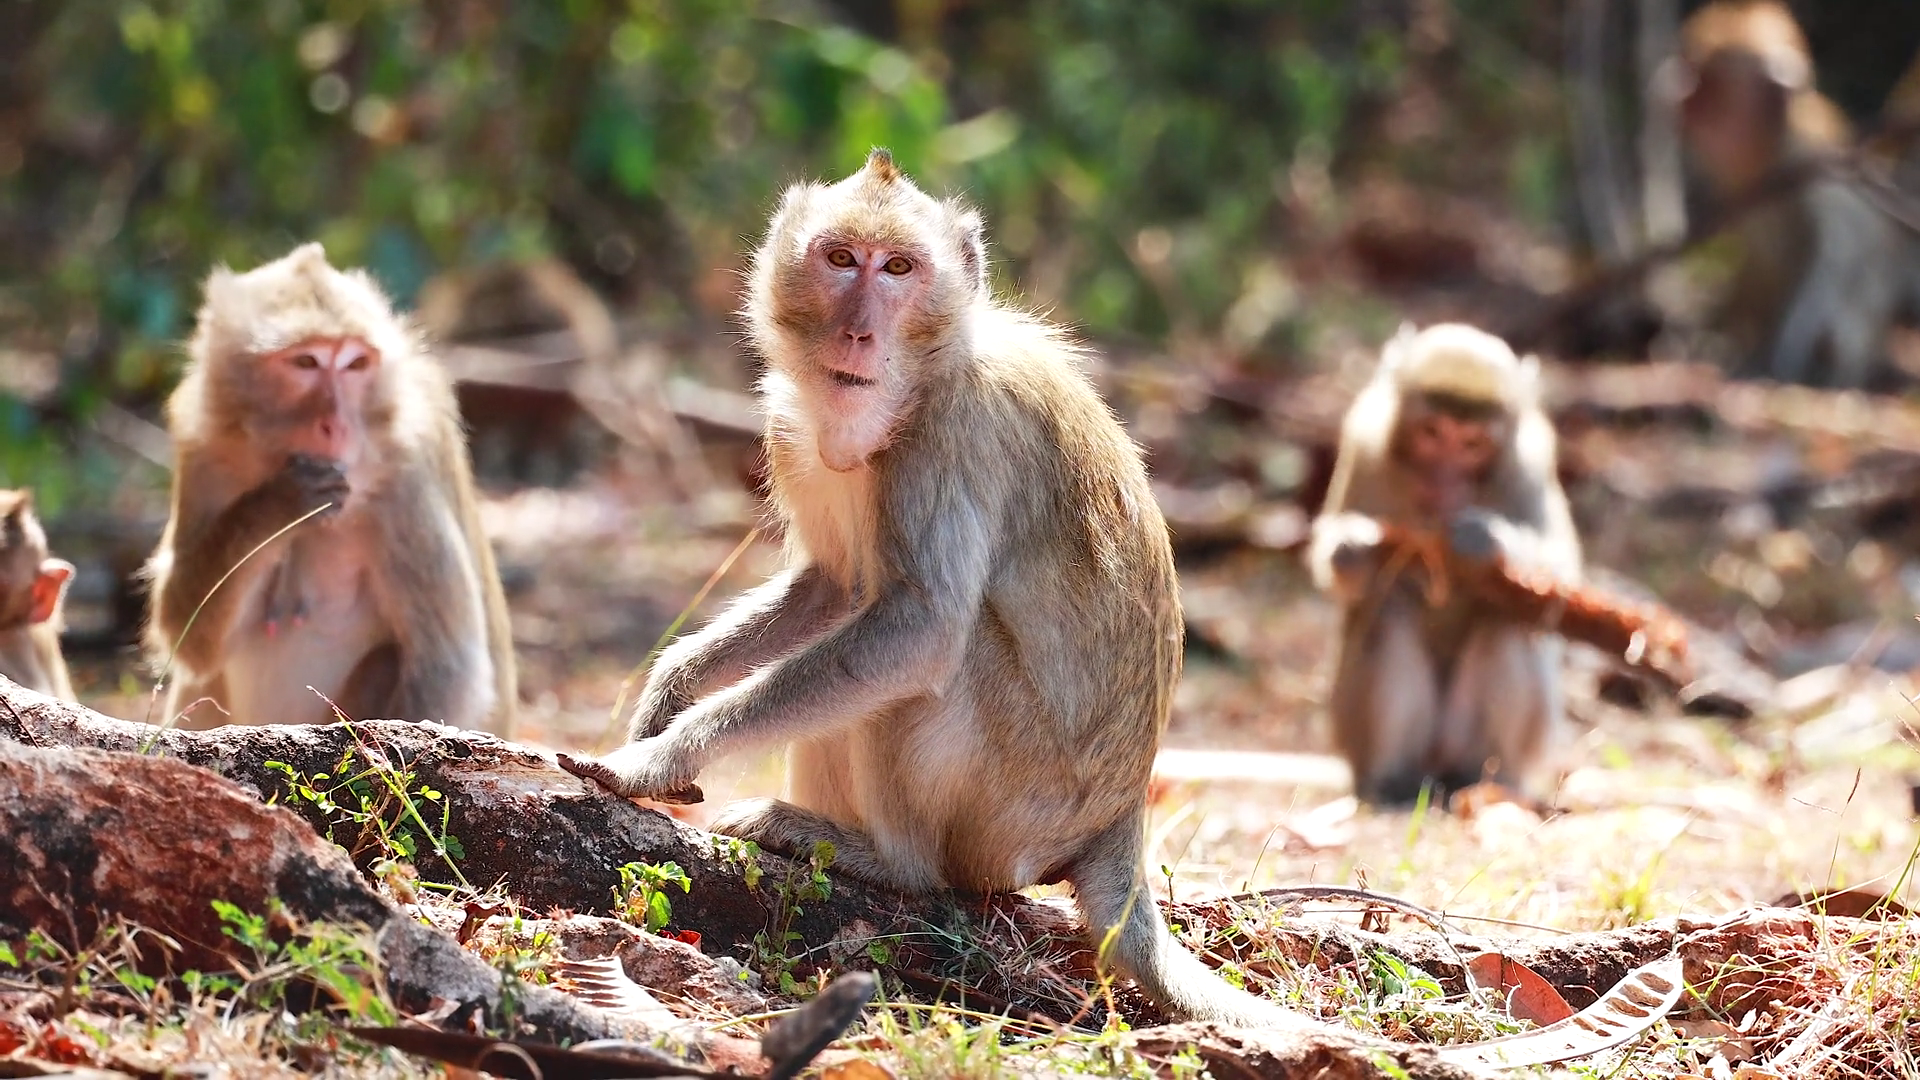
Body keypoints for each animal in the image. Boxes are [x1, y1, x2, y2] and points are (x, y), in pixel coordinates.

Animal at [144, 243, 518, 737]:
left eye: (355, 364)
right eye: (306, 362)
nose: (336, 424)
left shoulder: (407, 480)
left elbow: (449, 669)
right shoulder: (203, 449)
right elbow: (188, 637)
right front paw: (276, 509)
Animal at [559, 150, 1315, 1030]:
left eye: (899, 269)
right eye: (840, 258)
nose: (859, 329)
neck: (916, 383)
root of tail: (1121, 817)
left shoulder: (951, 437)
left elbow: (919, 628)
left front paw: (664, 753)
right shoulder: (791, 429)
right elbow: (834, 588)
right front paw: (670, 689)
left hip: (1014, 810)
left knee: (941, 662)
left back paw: (891, 863)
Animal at [1307, 323, 1581, 805]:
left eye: (1471, 443)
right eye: (1432, 432)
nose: (1443, 481)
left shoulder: (1530, 463)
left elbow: (1561, 584)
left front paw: (1484, 541)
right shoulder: (1364, 439)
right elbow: (1340, 570)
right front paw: (1352, 551)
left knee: (1507, 619)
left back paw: (1483, 780)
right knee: (1387, 610)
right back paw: (1392, 780)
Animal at [1667, 0, 1911, 388]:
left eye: (1704, 80)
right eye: (1688, 66)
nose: (1672, 91)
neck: (1770, 147)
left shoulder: (1814, 165)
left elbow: (1837, 257)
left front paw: (1780, 356)